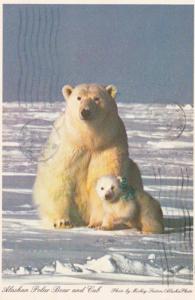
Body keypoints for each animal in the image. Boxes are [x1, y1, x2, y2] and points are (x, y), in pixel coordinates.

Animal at [33, 83, 143, 229]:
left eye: (96, 98)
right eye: (79, 98)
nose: (85, 111)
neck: (88, 140)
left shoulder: (108, 146)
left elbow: (102, 177)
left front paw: (97, 222)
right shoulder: (68, 148)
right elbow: (59, 178)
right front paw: (62, 221)